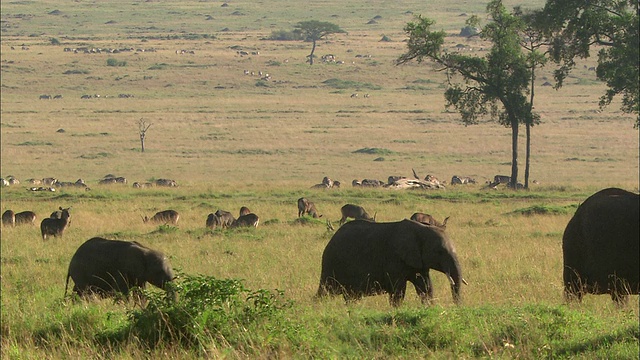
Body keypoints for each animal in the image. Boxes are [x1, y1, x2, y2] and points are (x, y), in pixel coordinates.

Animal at [316, 219, 462, 306]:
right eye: (439, 252)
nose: (457, 307)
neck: (420, 229)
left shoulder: (418, 262)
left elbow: (425, 287)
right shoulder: (394, 259)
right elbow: (399, 290)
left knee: (350, 296)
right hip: (331, 263)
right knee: (326, 291)